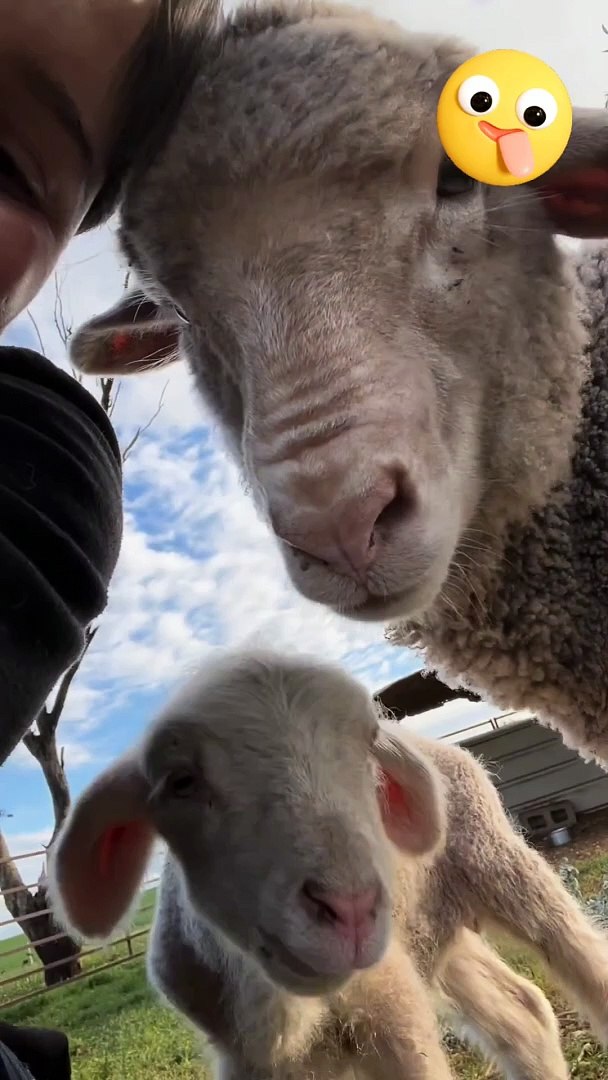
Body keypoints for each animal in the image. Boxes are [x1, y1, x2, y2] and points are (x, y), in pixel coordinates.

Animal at [49, 650, 608, 1078]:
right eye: (180, 782)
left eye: (367, 753)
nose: (350, 906)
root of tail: (438, 746)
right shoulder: (249, 1055)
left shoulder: (393, 1012)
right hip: (427, 930)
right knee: (520, 1011)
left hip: (498, 864)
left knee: (580, 959)